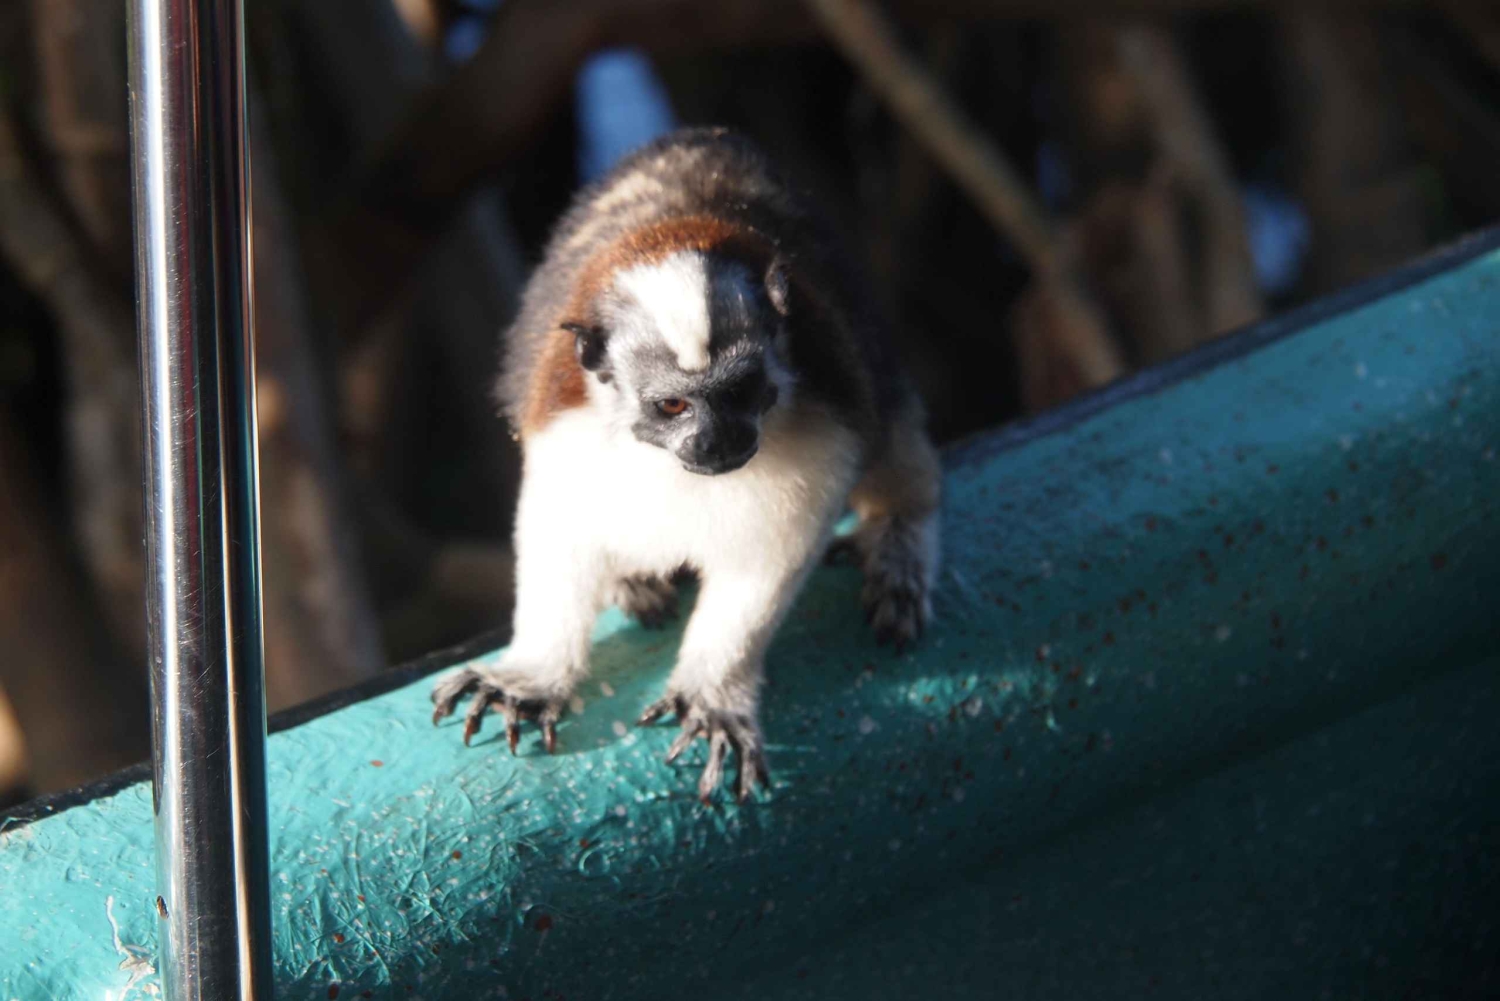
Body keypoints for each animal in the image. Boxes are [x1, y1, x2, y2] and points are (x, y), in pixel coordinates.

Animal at [430, 127, 941, 802]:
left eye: (740, 392)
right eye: (673, 405)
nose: (717, 443)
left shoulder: (826, 416)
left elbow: (768, 558)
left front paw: (713, 693)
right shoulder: (566, 429)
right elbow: (560, 537)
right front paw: (532, 675)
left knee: (892, 419)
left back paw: (898, 540)